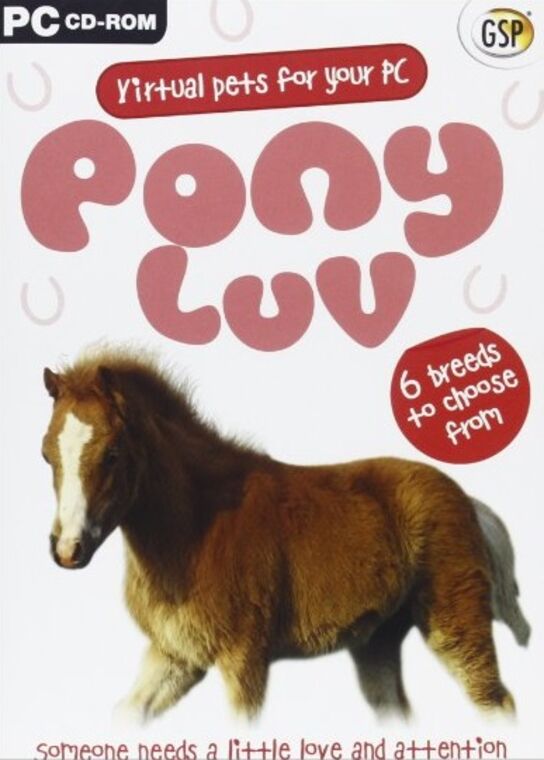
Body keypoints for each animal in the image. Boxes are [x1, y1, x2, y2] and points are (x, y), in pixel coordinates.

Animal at [41, 347, 529, 722]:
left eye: (112, 453)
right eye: (47, 453)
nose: (68, 548)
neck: (196, 530)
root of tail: (469, 500)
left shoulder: (245, 659)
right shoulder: (176, 654)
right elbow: (126, 714)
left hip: (454, 622)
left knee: (496, 702)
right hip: (377, 641)